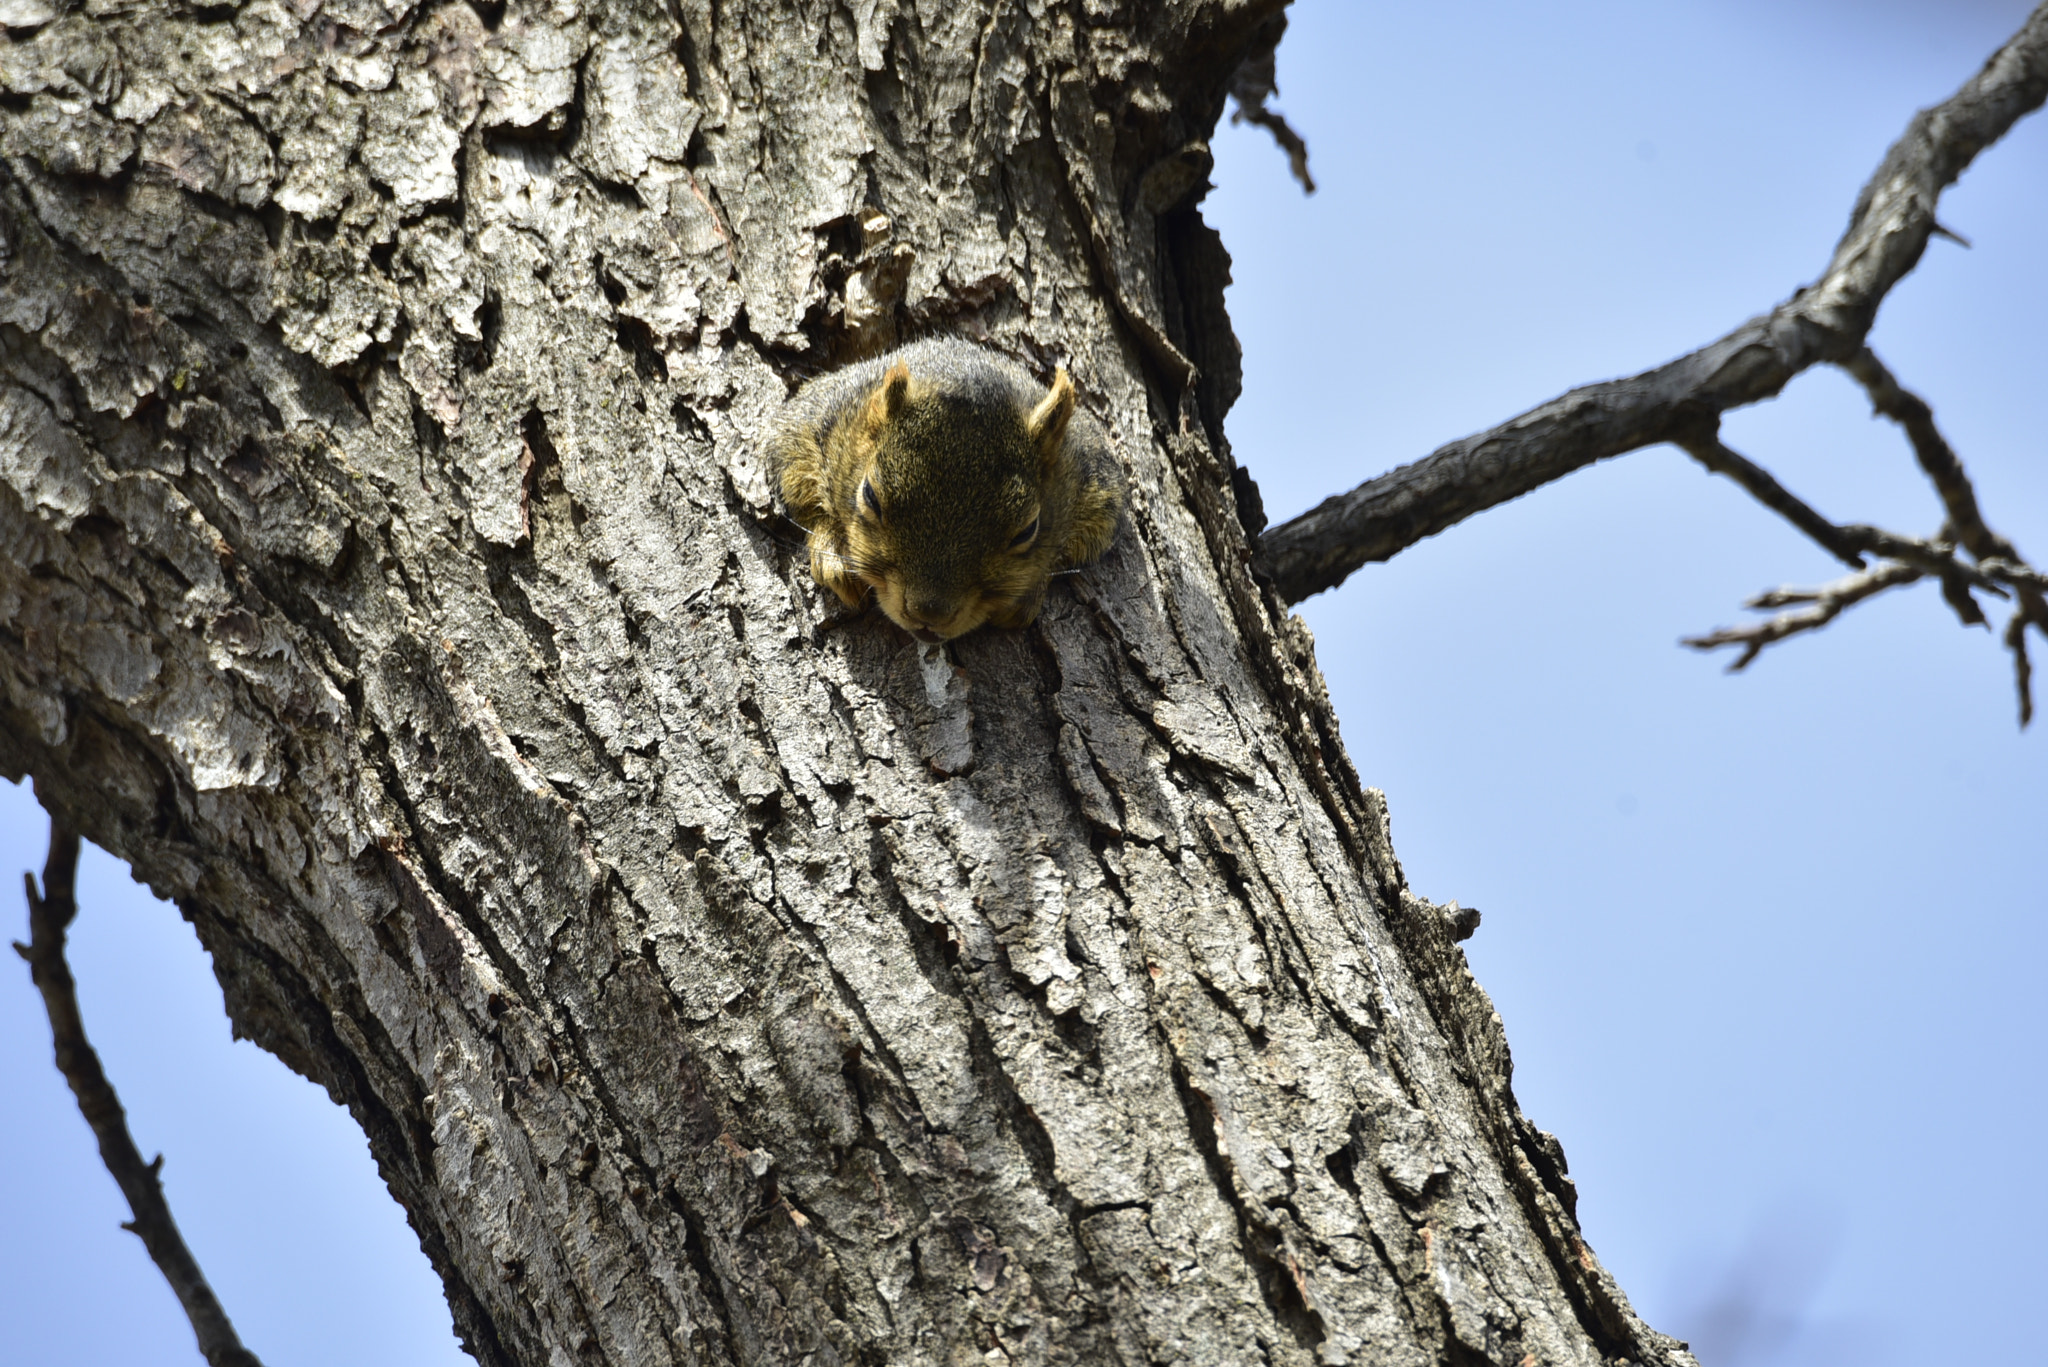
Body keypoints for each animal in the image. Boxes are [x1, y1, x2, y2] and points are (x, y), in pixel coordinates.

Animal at [770, 340, 1122, 643]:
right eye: (870, 495)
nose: (929, 614)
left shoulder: (1095, 480)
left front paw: (1028, 595)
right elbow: (789, 469)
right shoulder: (815, 418)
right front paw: (833, 556)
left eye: (1026, 531)